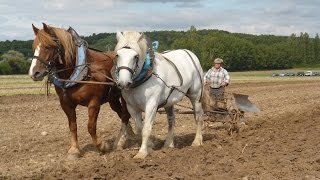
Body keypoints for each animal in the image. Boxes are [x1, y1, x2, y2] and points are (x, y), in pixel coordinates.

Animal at [28, 22, 131, 160]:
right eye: (34, 46)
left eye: (48, 46)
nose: (34, 73)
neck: (80, 72)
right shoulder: (66, 104)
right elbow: (73, 126)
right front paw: (74, 150)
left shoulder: (94, 103)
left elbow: (90, 126)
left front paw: (101, 146)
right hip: (113, 99)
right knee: (122, 115)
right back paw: (128, 136)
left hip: (124, 95)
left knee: (125, 115)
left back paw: (121, 141)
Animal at [114, 31, 205, 159]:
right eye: (117, 55)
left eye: (135, 56)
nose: (123, 83)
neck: (144, 76)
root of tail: (190, 53)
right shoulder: (131, 107)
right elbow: (140, 128)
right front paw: (150, 146)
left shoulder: (151, 105)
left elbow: (146, 129)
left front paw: (142, 153)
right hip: (169, 102)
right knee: (172, 121)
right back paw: (168, 144)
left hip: (196, 96)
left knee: (198, 117)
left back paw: (197, 141)